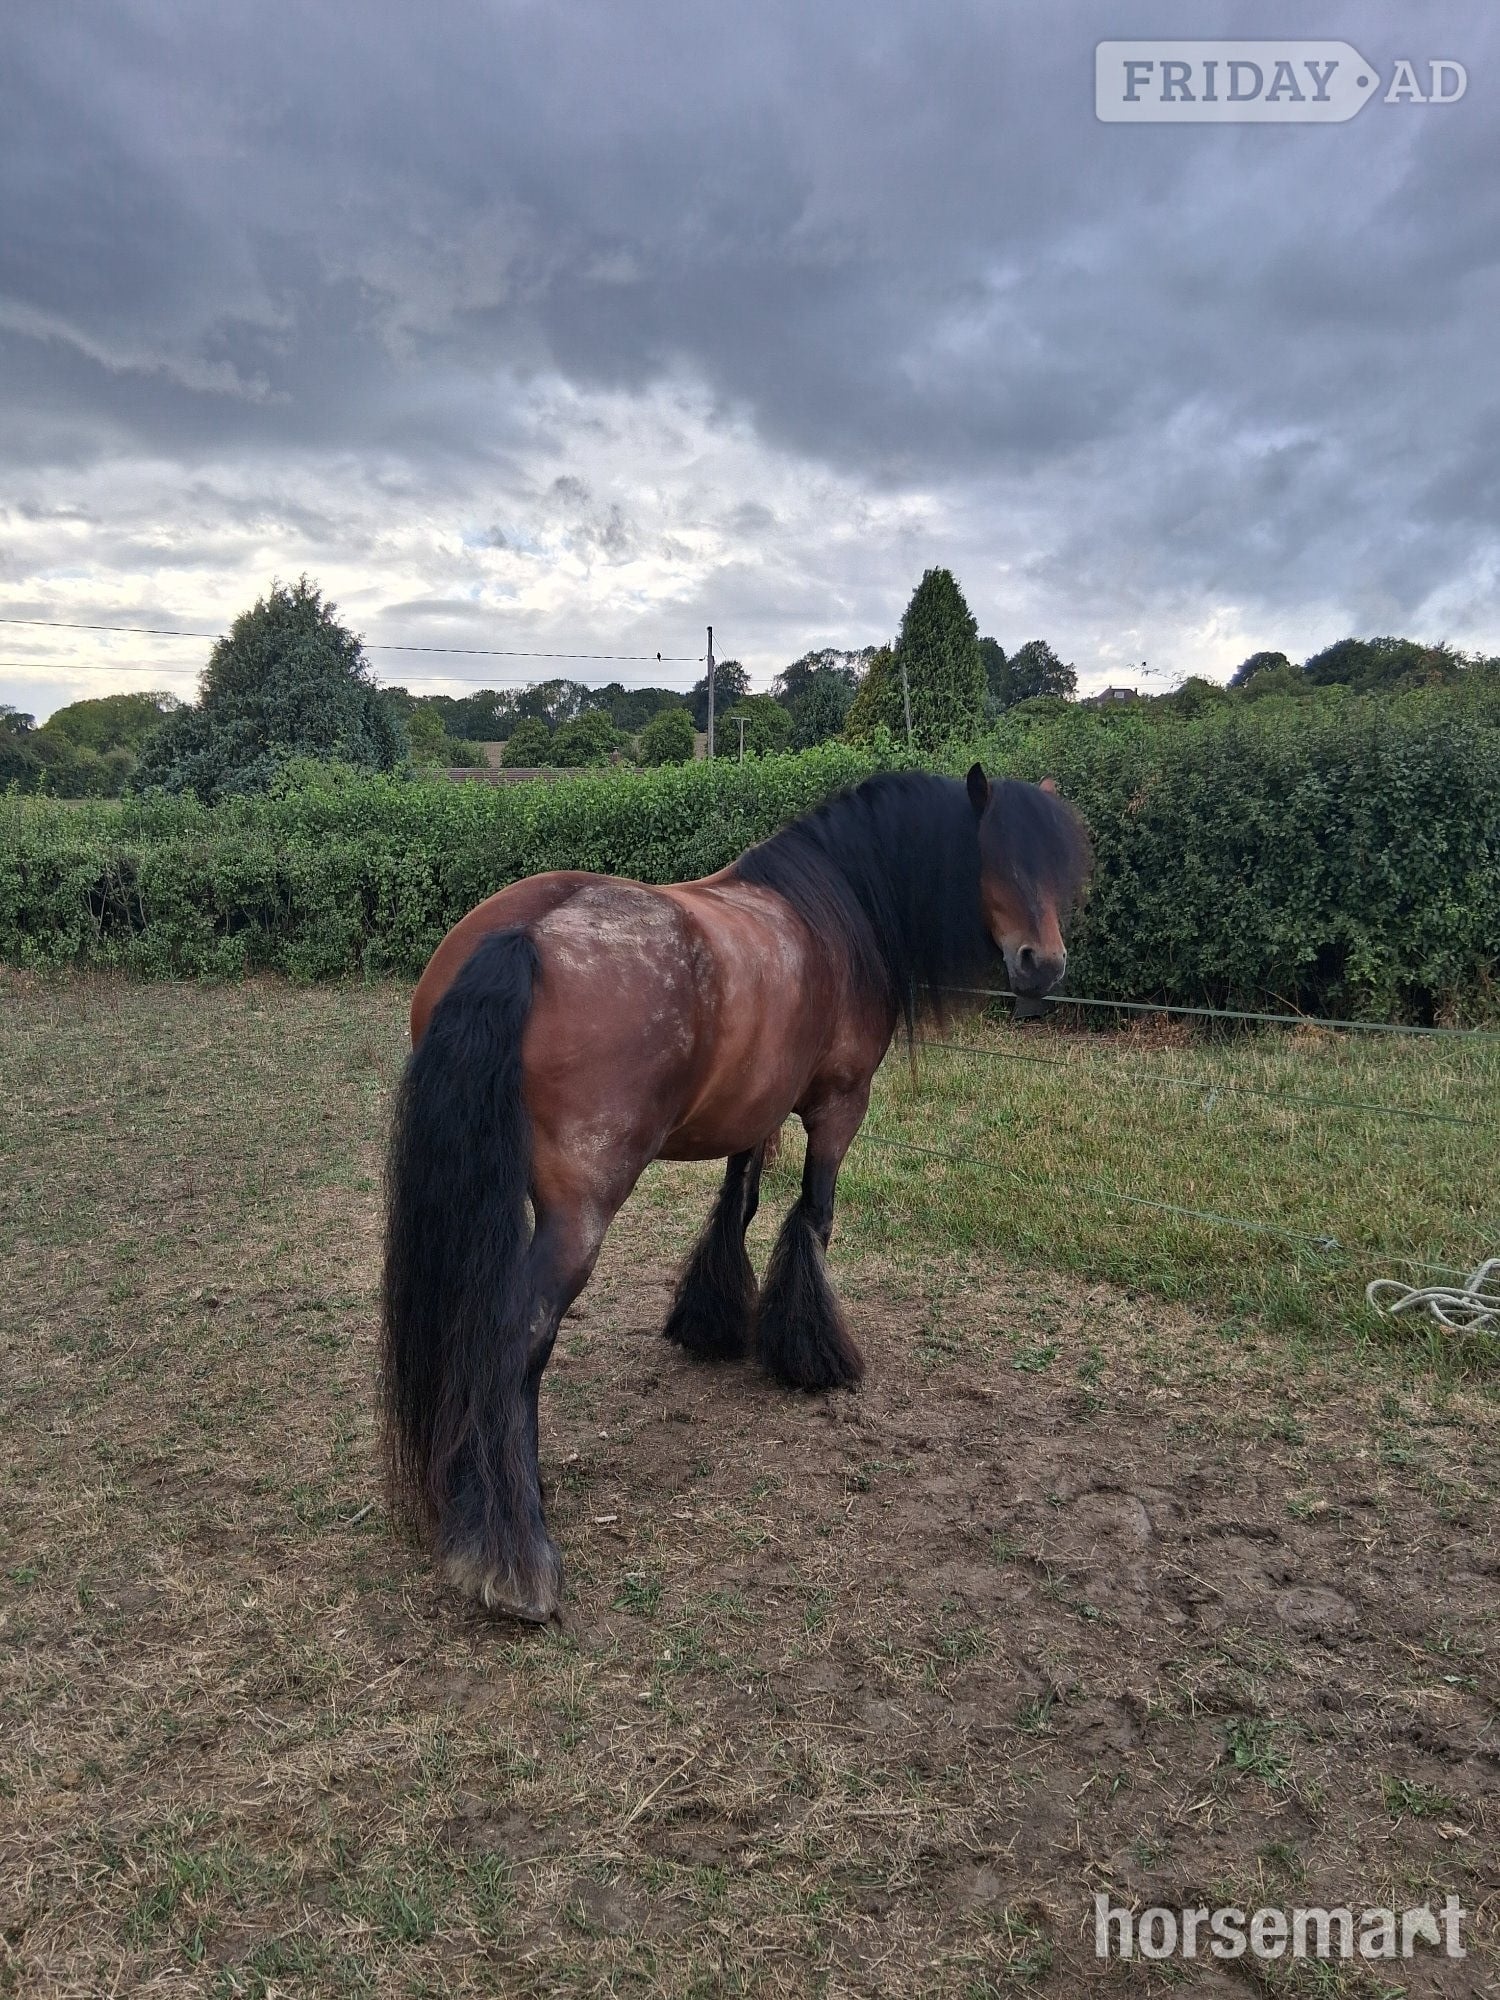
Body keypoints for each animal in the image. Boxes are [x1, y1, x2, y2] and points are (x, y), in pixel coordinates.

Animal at [381, 763, 1091, 1622]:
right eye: (1001, 860)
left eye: (1059, 870)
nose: (1045, 965)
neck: (836, 905)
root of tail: (523, 937)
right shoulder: (837, 1106)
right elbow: (812, 1218)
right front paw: (812, 1352)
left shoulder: (757, 1109)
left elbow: (738, 1204)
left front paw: (713, 1320)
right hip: (578, 1215)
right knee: (517, 1336)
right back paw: (516, 1552)